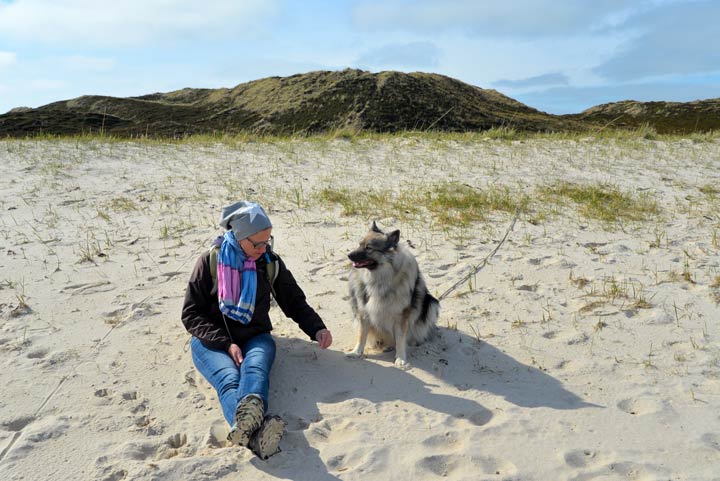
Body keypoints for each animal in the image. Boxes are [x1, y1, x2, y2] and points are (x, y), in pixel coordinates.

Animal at [344, 222, 438, 368]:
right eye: (359, 244)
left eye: (369, 248)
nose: (348, 255)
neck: (380, 279)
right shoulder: (364, 312)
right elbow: (361, 335)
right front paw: (356, 352)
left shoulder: (401, 317)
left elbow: (400, 339)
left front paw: (400, 358)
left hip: (431, 304)